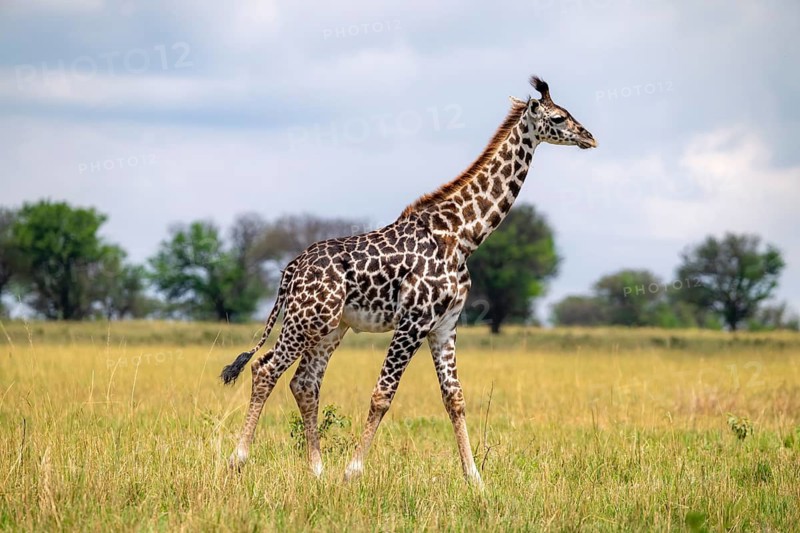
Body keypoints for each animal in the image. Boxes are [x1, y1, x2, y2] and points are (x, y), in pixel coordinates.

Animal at [220, 75, 596, 487]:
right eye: (559, 118)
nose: (590, 137)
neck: (463, 236)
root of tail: (290, 271)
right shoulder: (413, 321)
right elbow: (383, 394)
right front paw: (353, 471)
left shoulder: (444, 325)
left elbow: (455, 398)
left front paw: (475, 479)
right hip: (306, 320)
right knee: (266, 369)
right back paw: (238, 459)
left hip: (331, 328)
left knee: (304, 383)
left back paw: (317, 471)